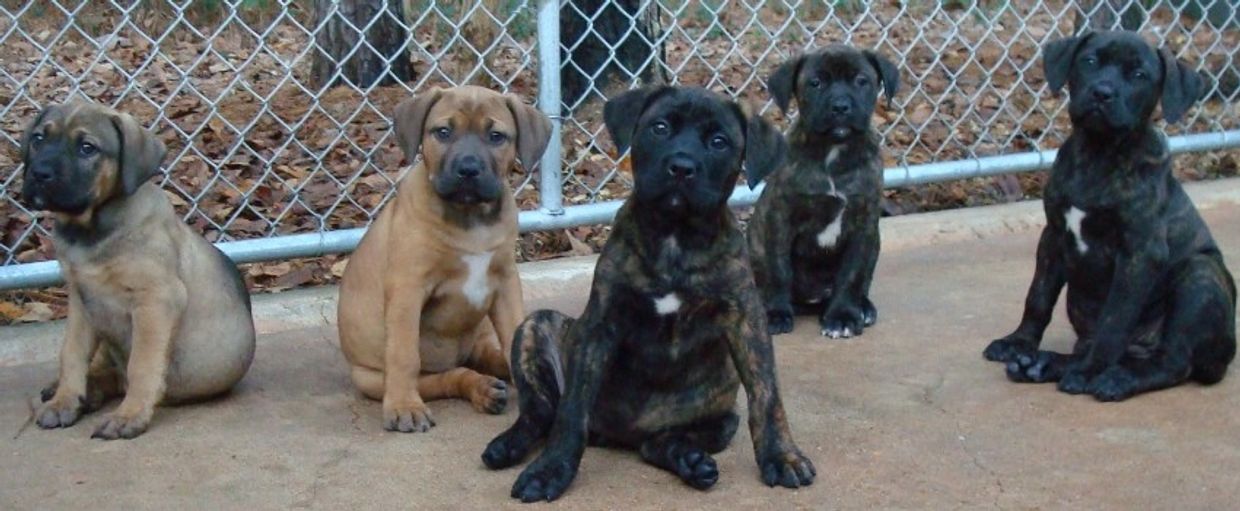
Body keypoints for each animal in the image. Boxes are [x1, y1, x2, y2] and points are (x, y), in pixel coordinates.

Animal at [19, 99, 256, 439]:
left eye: (87, 148)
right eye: (38, 139)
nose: (39, 173)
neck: (91, 231)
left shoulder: (155, 300)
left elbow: (141, 365)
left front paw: (129, 415)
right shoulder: (81, 301)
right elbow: (72, 353)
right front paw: (64, 400)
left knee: (120, 376)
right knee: (104, 369)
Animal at [339, 85, 553, 434]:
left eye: (496, 136)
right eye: (442, 132)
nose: (468, 169)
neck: (470, 218)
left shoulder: (506, 282)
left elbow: (514, 334)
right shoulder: (408, 289)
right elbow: (403, 354)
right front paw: (403, 406)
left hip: (478, 332)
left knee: (492, 356)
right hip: (371, 378)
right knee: (444, 378)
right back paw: (479, 389)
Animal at [481, 85, 813, 501]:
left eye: (719, 142)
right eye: (660, 127)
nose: (682, 167)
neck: (674, 235)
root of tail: (623, 435)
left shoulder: (746, 320)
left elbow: (767, 395)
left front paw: (782, 456)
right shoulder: (601, 324)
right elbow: (572, 411)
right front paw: (550, 470)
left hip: (721, 415)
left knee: (660, 441)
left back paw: (691, 460)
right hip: (535, 327)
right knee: (541, 412)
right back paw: (507, 445)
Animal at [739, 44, 897, 339]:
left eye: (861, 80)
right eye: (815, 83)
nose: (841, 106)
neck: (833, 151)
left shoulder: (863, 227)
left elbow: (852, 274)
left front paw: (843, 316)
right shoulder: (781, 219)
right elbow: (779, 270)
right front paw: (776, 313)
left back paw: (862, 307)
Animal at [982, 31, 1235, 404]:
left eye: (1139, 75)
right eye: (1089, 61)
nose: (1102, 92)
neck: (1098, 153)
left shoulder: (1139, 254)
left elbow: (1114, 319)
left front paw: (1089, 373)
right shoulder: (1053, 236)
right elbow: (1038, 296)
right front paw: (1018, 343)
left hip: (1199, 274)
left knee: (1172, 361)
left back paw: (1113, 378)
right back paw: (1042, 364)